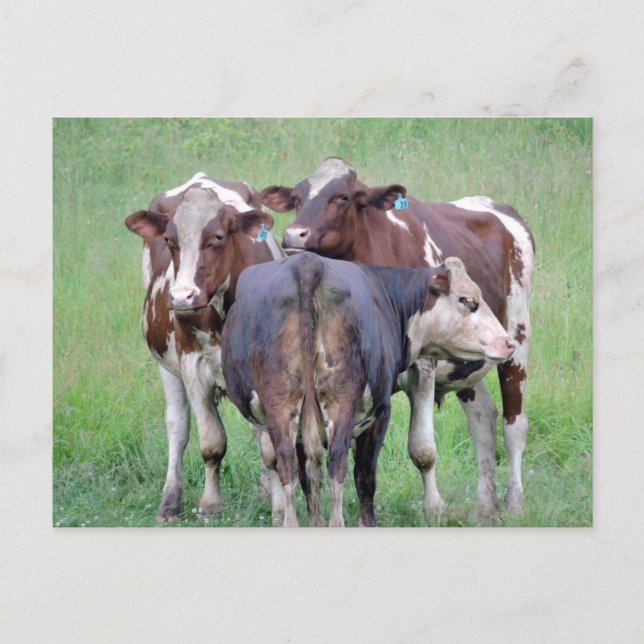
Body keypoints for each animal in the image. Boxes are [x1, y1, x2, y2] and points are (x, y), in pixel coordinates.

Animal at [125, 173, 283, 522]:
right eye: (169, 240)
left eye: (218, 237)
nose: (182, 297)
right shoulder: (193, 365)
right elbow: (212, 443)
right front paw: (210, 504)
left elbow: (269, 445)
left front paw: (277, 502)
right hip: (166, 362)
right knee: (178, 427)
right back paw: (170, 502)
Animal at [221, 252, 515, 527]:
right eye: (467, 300)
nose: (508, 343)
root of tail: (308, 264)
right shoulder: (380, 412)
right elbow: (364, 475)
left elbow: (309, 482)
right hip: (340, 402)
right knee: (337, 461)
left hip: (283, 405)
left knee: (289, 464)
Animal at [258, 157, 535, 517]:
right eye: (297, 197)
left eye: (343, 197)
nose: (294, 233)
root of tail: (496, 207)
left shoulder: (423, 366)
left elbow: (423, 449)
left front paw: (434, 509)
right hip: (469, 356)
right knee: (483, 421)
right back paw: (485, 506)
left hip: (517, 336)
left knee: (514, 424)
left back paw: (514, 502)